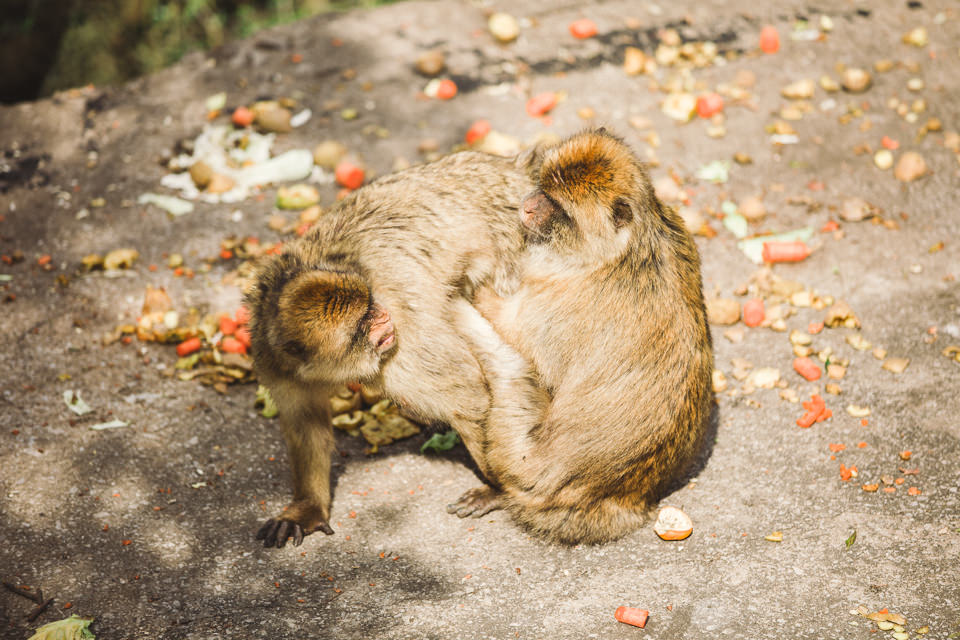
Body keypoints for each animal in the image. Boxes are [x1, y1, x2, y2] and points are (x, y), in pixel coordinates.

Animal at [244, 149, 536, 544]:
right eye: (364, 320)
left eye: (371, 305)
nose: (382, 316)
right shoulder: (276, 362)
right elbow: (306, 423)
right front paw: (306, 507)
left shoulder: (403, 338)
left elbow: (468, 395)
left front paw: (498, 489)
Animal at [448, 130, 712, 544]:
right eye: (543, 186)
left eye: (557, 206)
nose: (527, 207)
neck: (628, 246)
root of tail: (621, 499)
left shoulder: (562, 303)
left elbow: (520, 336)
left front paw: (473, 286)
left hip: (522, 460)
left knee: (507, 375)